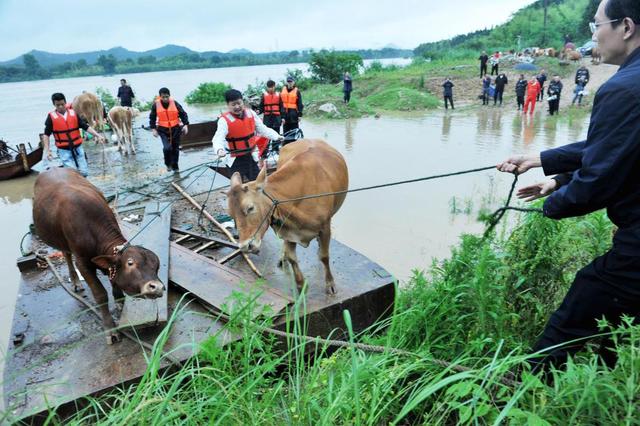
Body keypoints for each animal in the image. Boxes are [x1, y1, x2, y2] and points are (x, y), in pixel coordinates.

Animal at [32, 167, 164, 342]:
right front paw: (110, 329)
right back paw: (76, 281)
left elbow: (114, 280)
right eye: (130, 263)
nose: (157, 287)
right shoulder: (83, 263)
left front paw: (120, 300)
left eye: (157, 266)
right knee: (67, 255)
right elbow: (100, 295)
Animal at [226, 140, 350, 296]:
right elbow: (292, 258)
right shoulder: (288, 231)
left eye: (250, 208)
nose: (244, 246)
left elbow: (324, 256)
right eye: (231, 214)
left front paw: (330, 284)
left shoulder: (325, 227)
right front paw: (301, 285)